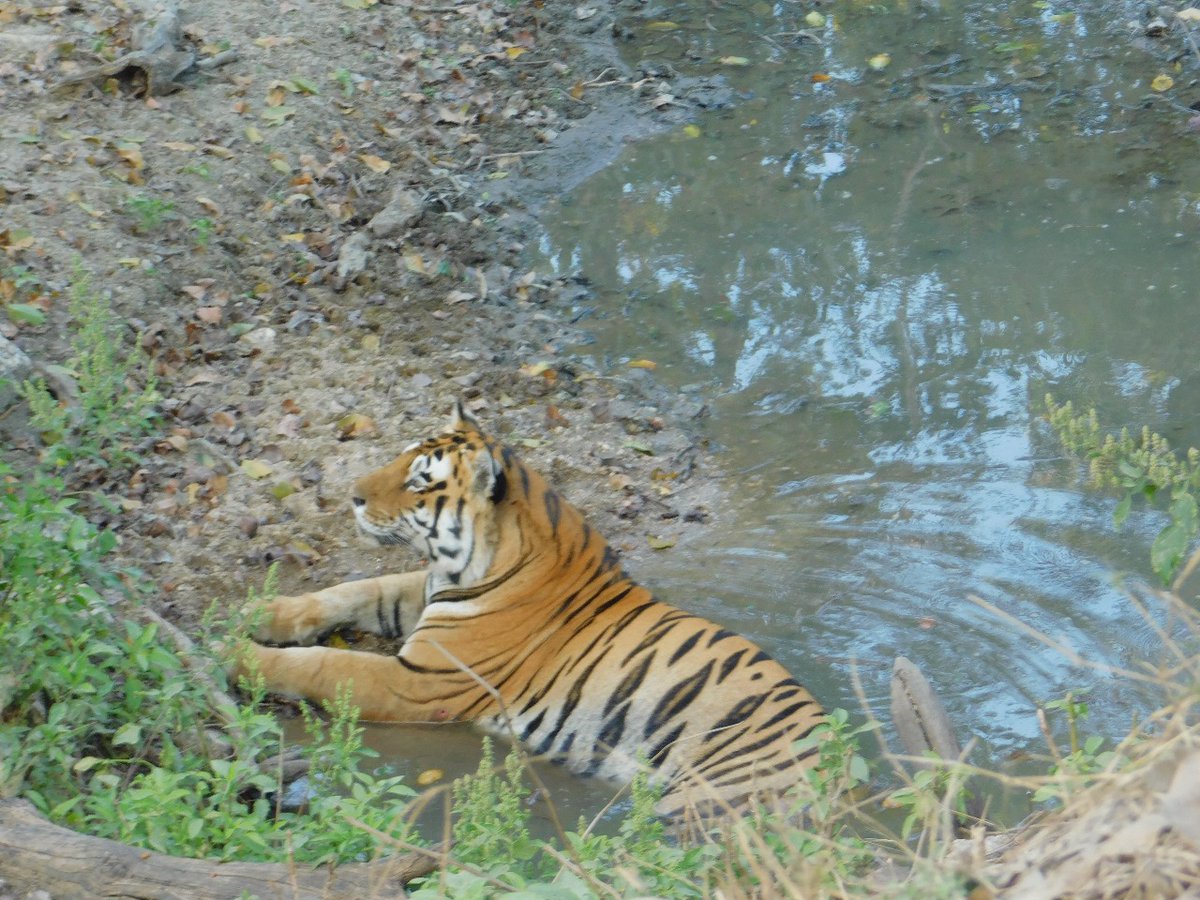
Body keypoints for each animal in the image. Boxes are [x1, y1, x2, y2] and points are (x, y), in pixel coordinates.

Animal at [234, 403, 827, 818]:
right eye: (401, 458)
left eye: (419, 481)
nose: (353, 496)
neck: (473, 565)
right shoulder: (420, 598)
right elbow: (351, 591)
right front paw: (257, 610)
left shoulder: (421, 683)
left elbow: (321, 664)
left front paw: (232, 652)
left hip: (705, 803)